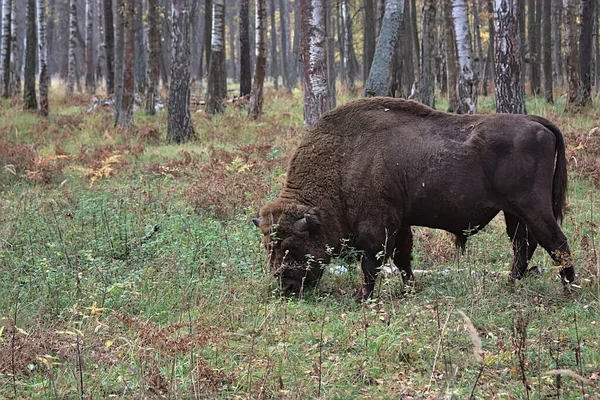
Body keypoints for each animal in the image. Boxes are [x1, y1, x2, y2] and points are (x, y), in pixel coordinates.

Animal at [253, 97, 576, 298]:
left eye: (293, 245)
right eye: (268, 245)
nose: (286, 285)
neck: (344, 160)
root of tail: (537, 123)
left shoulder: (377, 224)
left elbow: (373, 261)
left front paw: (362, 296)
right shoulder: (400, 221)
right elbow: (402, 258)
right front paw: (409, 289)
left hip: (532, 206)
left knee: (555, 241)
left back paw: (570, 289)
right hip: (513, 212)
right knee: (524, 245)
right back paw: (510, 285)